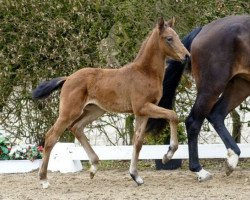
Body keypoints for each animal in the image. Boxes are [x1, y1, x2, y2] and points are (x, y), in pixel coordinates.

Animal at [32, 17, 189, 189]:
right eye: (169, 38)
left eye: (177, 36)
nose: (186, 56)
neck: (145, 72)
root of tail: (67, 78)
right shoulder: (143, 107)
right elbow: (173, 115)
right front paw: (168, 155)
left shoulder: (142, 112)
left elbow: (138, 141)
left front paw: (135, 176)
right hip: (69, 112)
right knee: (51, 137)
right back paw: (44, 179)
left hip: (95, 110)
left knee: (77, 128)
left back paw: (94, 167)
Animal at [146, 15, 250, 181]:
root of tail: (203, 30)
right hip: (212, 87)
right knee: (194, 121)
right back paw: (199, 170)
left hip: (241, 84)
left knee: (216, 115)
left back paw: (231, 161)